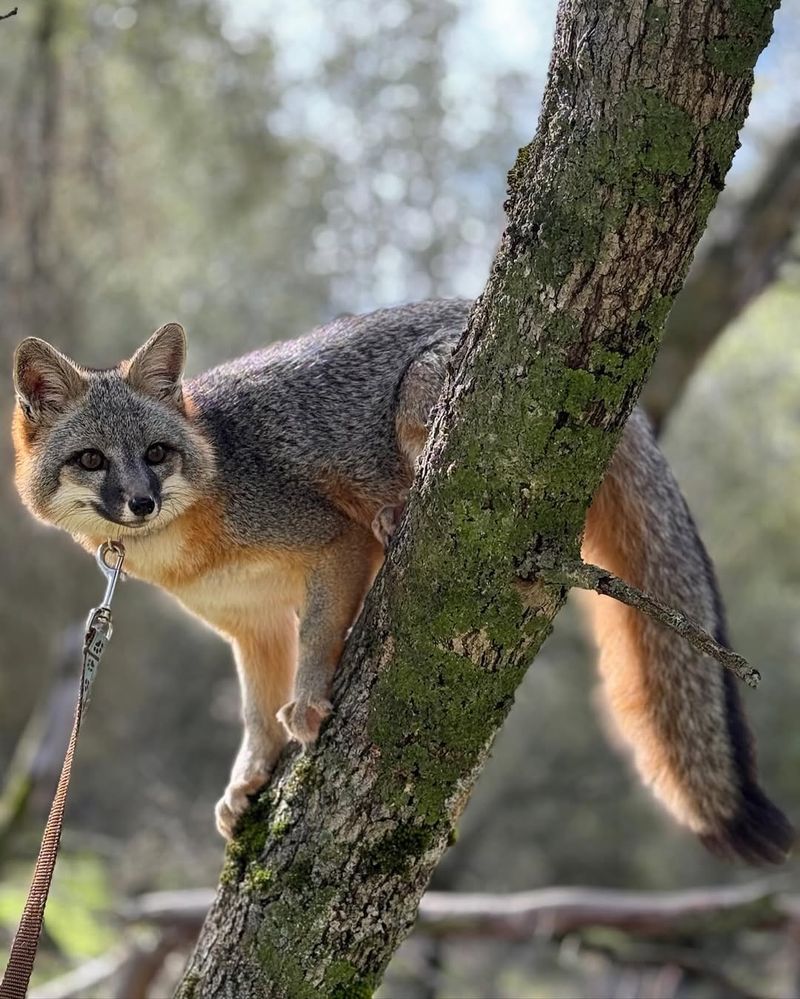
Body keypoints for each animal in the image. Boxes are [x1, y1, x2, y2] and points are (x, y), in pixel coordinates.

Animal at [10, 299, 793, 861]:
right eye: (91, 460)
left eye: (156, 453)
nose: (140, 502)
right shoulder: (250, 625)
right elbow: (253, 715)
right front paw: (248, 777)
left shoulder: (332, 544)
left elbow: (317, 638)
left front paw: (311, 700)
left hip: (425, 394)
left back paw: (400, 507)